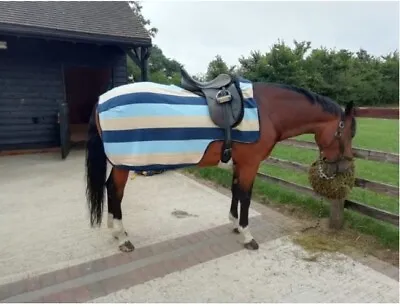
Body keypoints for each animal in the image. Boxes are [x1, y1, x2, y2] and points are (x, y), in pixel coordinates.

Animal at [84, 74, 356, 253]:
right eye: (348, 132)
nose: (342, 168)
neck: (267, 110)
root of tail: (101, 100)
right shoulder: (250, 163)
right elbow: (246, 195)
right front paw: (247, 235)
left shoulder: (239, 162)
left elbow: (235, 190)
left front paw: (234, 224)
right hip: (124, 163)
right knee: (115, 190)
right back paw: (122, 237)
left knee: (111, 189)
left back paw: (116, 228)